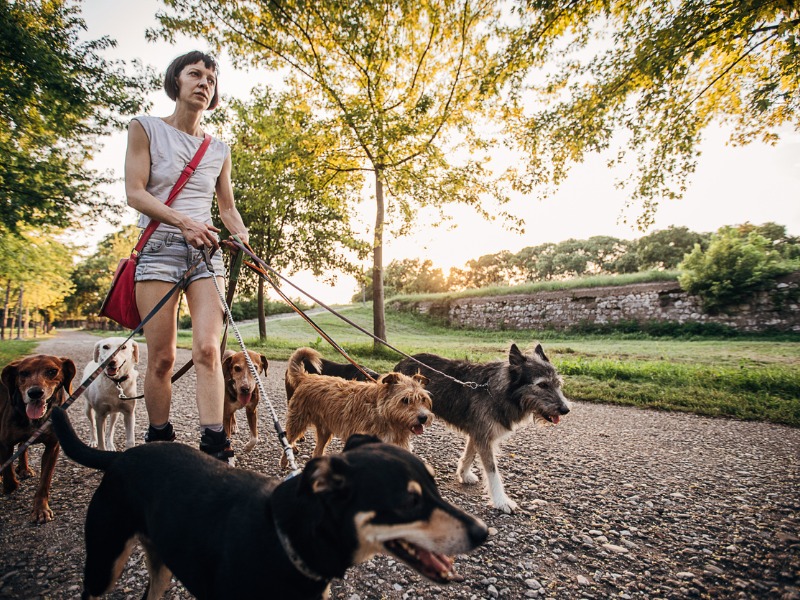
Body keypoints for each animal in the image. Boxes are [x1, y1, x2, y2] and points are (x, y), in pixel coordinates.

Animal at [0, 354, 76, 524]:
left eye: (52, 371)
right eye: (23, 373)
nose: (35, 392)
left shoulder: (53, 447)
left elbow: (44, 482)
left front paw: (40, 509)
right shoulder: (5, 444)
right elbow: (8, 474)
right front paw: (8, 484)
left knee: (22, 446)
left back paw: (24, 468)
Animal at [51, 406, 488, 596]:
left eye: (434, 488)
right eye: (408, 502)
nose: (484, 533)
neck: (286, 541)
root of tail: (120, 456)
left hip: (161, 564)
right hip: (103, 563)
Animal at [282, 346, 432, 468]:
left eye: (423, 399)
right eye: (405, 400)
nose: (423, 418)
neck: (380, 410)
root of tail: (306, 377)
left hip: (324, 430)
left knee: (317, 450)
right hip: (297, 422)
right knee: (288, 440)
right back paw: (286, 461)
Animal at [394, 344, 568, 512]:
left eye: (557, 384)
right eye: (542, 384)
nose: (566, 409)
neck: (499, 392)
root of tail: (401, 363)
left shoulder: (478, 432)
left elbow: (470, 455)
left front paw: (464, 474)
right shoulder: (483, 437)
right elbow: (492, 471)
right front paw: (501, 501)